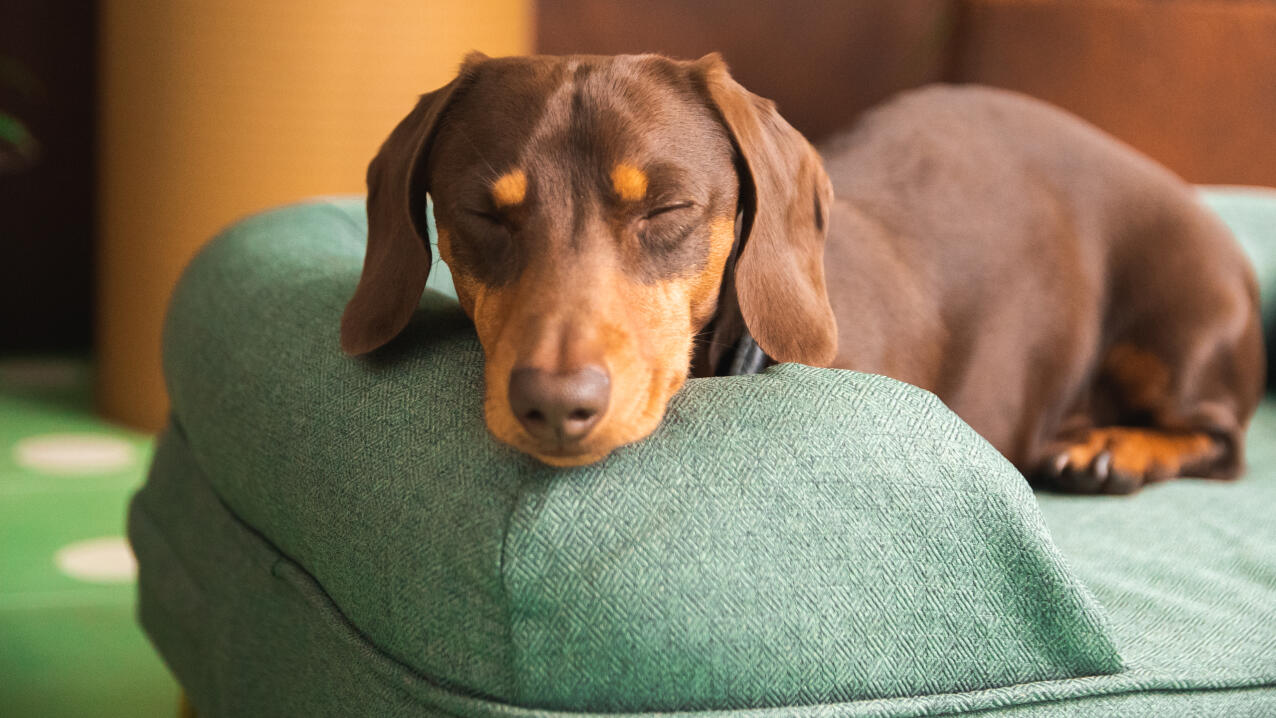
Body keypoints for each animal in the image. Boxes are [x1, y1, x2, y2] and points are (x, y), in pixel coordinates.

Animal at [341, 51, 1265, 494]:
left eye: (667, 209)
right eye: (483, 212)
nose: (554, 407)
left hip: (1182, 328)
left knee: (1222, 442)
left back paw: (1113, 449)